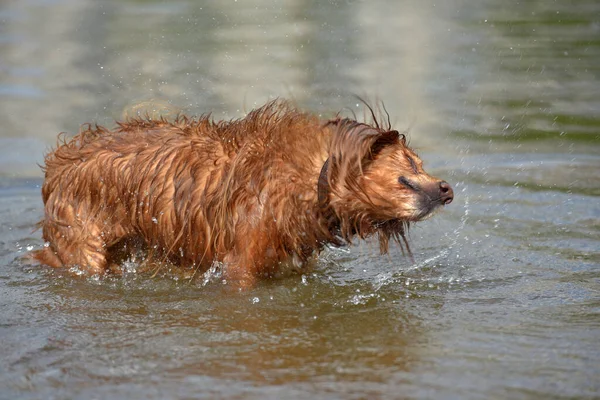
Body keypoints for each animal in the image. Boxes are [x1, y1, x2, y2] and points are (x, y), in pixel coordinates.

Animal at [32, 100, 452, 288]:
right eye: (410, 166)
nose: (446, 190)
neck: (308, 176)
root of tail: (56, 169)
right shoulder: (241, 264)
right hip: (84, 245)